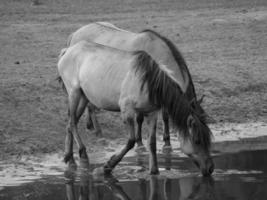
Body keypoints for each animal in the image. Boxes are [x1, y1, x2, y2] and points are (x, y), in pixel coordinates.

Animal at [57, 41, 215, 177]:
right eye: (197, 141)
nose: (210, 168)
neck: (149, 83)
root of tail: (67, 51)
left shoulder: (151, 113)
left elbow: (152, 143)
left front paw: (154, 171)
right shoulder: (127, 110)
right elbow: (131, 141)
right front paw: (107, 167)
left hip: (84, 97)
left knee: (70, 123)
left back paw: (70, 158)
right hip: (74, 93)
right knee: (72, 122)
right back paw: (83, 154)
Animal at [66, 21, 207, 152]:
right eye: (193, 127)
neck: (157, 52)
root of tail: (74, 34)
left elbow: (165, 116)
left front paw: (167, 142)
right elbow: (139, 118)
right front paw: (140, 143)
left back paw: (90, 125)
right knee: (90, 105)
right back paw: (98, 130)